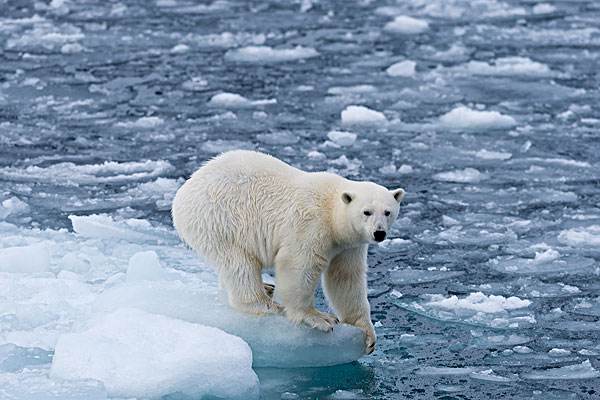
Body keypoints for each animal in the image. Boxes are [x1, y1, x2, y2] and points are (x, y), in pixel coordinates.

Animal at [172, 151, 404, 354]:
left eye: (387, 211)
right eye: (367, 212)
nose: (379, 233)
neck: (332, 212)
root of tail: (183, 193)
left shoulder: (349, 245)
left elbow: (345, 278)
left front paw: (367, 333)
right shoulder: (311, 224)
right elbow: (299, 265)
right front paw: (320, 318)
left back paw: (266, 287)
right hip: (220, 220)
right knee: (239, 263)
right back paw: (267, 303)